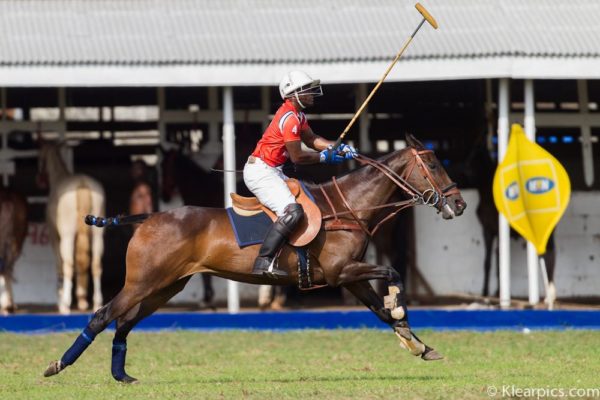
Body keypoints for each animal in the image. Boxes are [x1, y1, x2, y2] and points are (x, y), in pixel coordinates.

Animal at [37, 142, 105, 314]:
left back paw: (65, 304)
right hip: (97, 237)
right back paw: (96, 303)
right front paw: (81, 299)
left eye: (39, 157)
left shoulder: (55, 238)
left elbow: (60, 266)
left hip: (66, 238)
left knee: (68, 265)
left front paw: (61, 300)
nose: (39, 181)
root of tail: (82, 184)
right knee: (95, 265)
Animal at [45, 135, 468, 384]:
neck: (349, 206)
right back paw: (57, 365)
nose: (460, 204)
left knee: (124, 323)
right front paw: (401, 310)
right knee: (103, 315)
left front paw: (418, 345)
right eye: (433, 164)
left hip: (164, 287)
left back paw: (122, 376)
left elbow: (381, 311)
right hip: (142, 281)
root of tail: (148, 218)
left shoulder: (349, 277)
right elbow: (392, 275)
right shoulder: (340, 272)